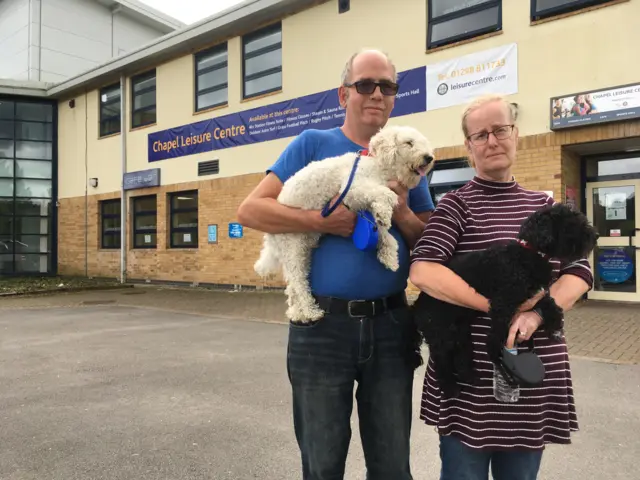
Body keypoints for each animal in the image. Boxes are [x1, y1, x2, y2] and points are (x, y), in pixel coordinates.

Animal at [254, 125, 436, 322]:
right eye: (409, 143)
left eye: (424, 143)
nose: (429, 157)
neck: (378, 165)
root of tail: (270, 238)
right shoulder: (352, 190)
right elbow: (386, 194)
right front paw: (385, 213)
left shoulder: (362, 204)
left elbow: (382, 230)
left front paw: (388, 254)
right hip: (292, 246)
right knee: (298, 282)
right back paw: (310, 311)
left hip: (303, 249)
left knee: (292, 287)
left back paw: (297, 313)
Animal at [412, 204, 596, 396]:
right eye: (570, 224)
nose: (595, 236)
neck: (528, 254)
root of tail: (417, 305)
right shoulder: (503, 304)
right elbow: (495, 336)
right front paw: (497, 357)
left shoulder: (536, 293)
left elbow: (550, 303)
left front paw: (554, 323)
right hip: (440, 334)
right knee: (442, 361)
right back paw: (450, 388)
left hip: (459, 330)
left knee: (460, 355)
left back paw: (468, 376)